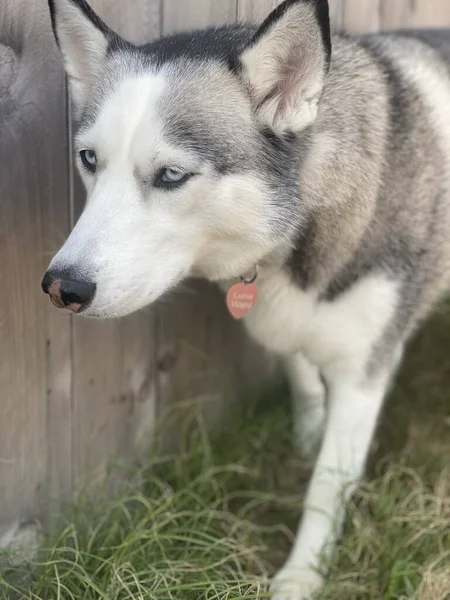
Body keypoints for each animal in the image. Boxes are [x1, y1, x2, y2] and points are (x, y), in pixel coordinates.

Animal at [43, 0, 450, 596]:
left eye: (171, 174)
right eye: (90, 159)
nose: (62, 287)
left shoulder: (364, 372)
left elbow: (327, 485)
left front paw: (302, 574)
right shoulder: (280, 322)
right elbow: (303, 384)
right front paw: (306, 438)